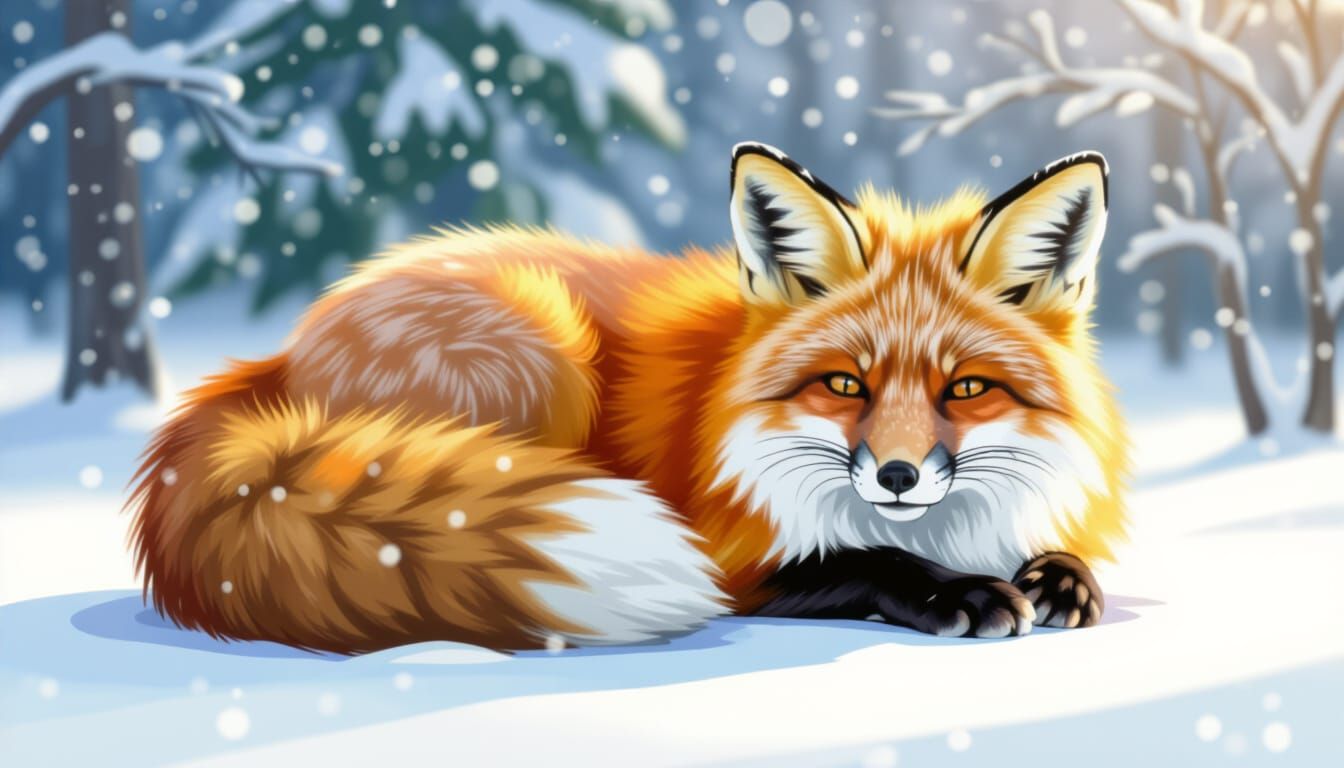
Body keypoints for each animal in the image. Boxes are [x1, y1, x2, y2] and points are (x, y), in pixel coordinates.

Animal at [128, 143, 1127, 653]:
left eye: (967, 389)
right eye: (846, 383)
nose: (897, 476)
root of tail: (279, 355)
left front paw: (1057, 577)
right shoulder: (736, 555)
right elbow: (864, 559)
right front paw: (963, 592)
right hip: (541, 352)